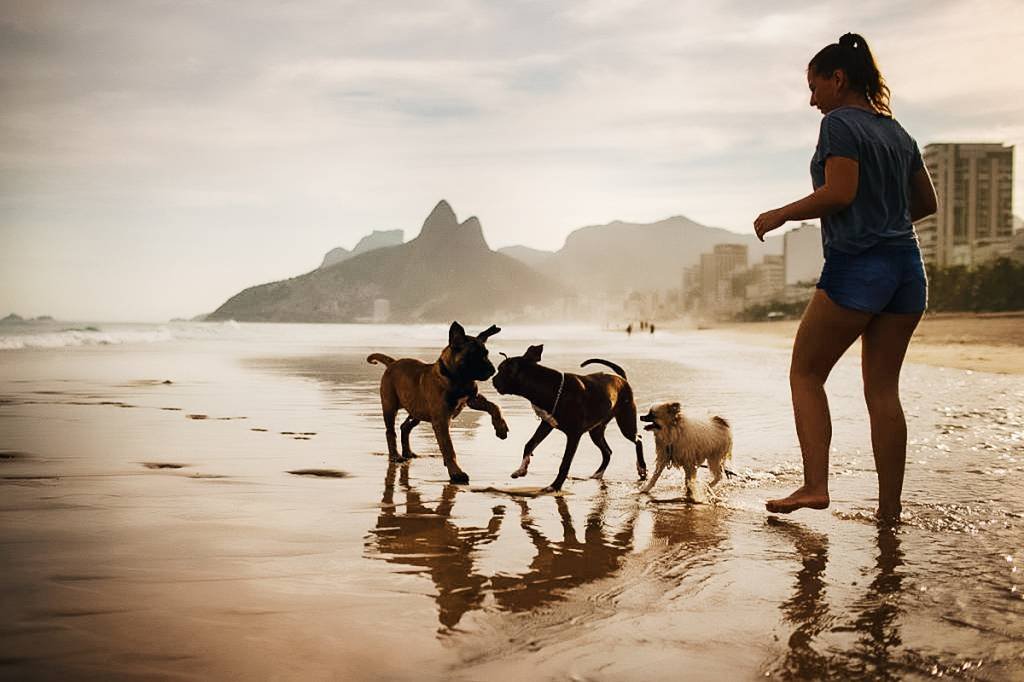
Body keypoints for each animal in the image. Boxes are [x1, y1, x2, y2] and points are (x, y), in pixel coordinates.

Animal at [370, 319, 509, 483]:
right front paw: (456, 472)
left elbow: (494, 407)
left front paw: (500, 427)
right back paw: (395, 456)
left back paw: (408, 452)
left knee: (405, 427)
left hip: (417, 410)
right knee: (390, 432)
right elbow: (448, 448)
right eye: (473, 355)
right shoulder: (441, 420)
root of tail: (393, 362)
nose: (492, 370)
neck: (458, 378)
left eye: (486, 354)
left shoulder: (472, 399)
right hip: (390, 407)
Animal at [489, 346, 647, 489]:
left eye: (502, 370)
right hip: (596, 431)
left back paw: (642, 467)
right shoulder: (547, 424)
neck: (548, 387)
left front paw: (555, 486)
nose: (493, 379)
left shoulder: (573, 435)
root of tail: (622, 378)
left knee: (637, 439)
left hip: (626, 421)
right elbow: (529, 444)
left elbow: (565, 463)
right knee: (607, 452)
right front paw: (521, 469)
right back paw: (598, 474)